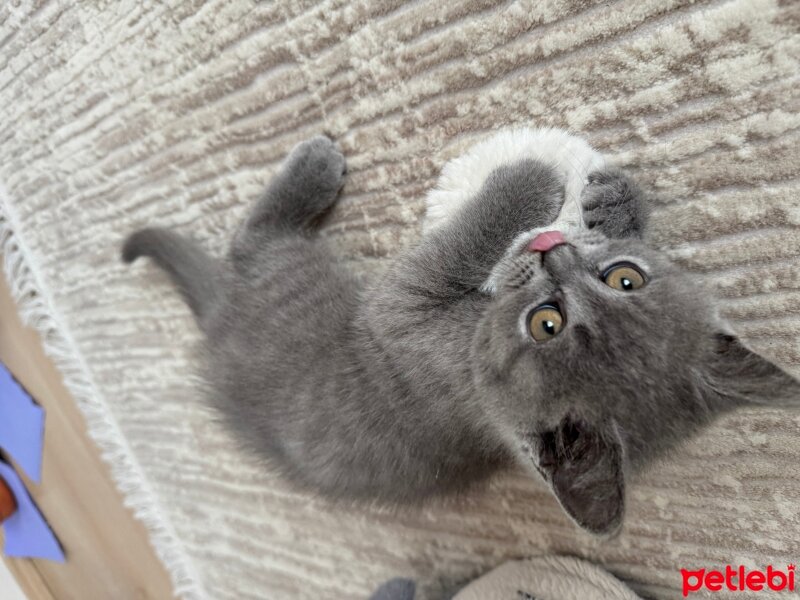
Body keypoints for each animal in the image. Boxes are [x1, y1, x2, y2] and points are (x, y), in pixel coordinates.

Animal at [123, 130, 800, 536]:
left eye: (546, 323)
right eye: (625, 277)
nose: (554, 251)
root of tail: (217, 323)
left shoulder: (403, 314)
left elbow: (449, 249)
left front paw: (527, 179)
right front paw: (613, 204)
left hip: (288, 278)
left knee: (254, 239)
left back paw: (311, 167)